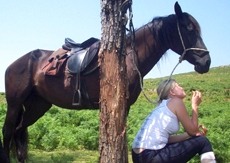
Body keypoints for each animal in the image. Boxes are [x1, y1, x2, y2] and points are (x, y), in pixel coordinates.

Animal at [2, 1, 210, 162]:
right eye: (188, 29)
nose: (206, 62)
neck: (128, 58)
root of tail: (17, 62)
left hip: (38, 105)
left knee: (20, 130)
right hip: (14, 103)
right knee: (8, 131)